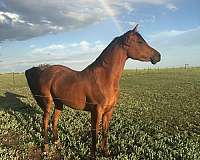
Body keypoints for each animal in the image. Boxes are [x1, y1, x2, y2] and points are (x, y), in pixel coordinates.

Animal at [25, 24, 160, 158]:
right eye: (140, 42)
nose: (158, 56)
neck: (104, 79)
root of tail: (43, 71)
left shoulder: (109, 111)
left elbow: (105, 132)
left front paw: (106, 153)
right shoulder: (96, 111)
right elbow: (95, 135)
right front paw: (94, 155)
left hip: (59, 103)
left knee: (54, 120)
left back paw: (58, 144)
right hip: (47, 103)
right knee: (45, 121)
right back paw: (46, 149)